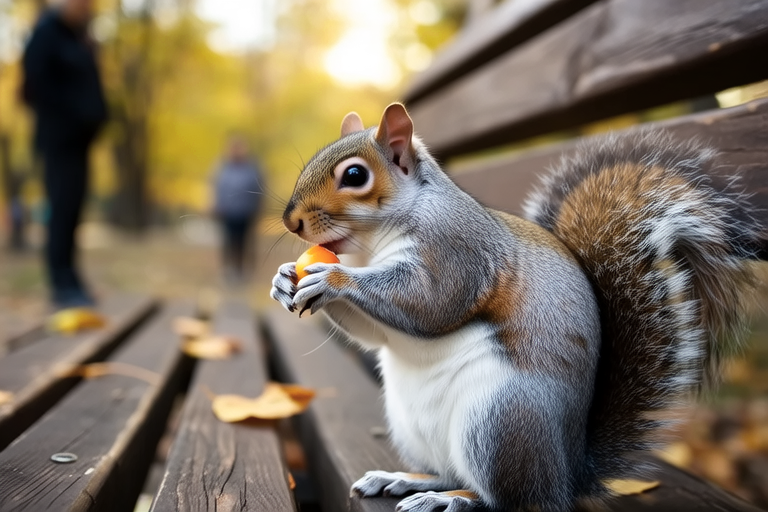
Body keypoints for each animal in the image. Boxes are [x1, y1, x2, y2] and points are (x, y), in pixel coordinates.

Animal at [270, 103, 761, 512]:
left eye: (355, 176)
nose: (291, 221)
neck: (372, 246)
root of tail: (566, 476)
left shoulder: (457, 254)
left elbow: (429, 304)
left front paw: (333, 280)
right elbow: (375, 334)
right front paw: (284, 278)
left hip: (498, 421)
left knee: (506, 498)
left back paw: (452, 499)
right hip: (416, 428)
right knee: (450, 470)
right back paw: (408, 479)